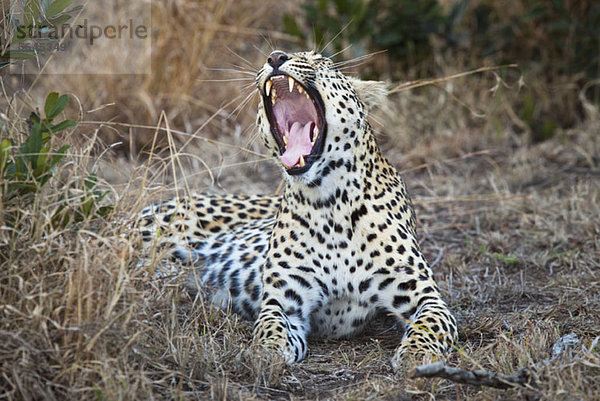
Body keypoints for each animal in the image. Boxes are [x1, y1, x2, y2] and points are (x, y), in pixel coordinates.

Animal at [135, 50, 454, 368]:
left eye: (321, 60)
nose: (276, 56)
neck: (329, 203)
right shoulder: (284, 300)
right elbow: (270, 325)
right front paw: (266, 353)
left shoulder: (423, 293)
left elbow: (431, 324)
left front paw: (416, 356)